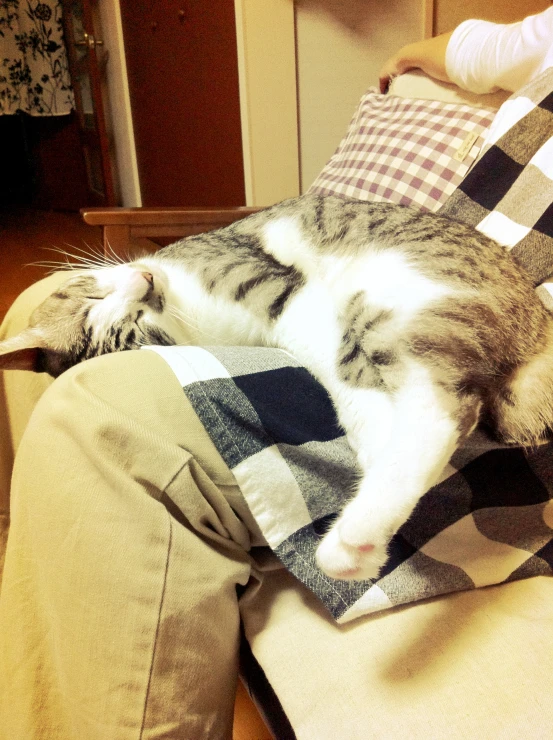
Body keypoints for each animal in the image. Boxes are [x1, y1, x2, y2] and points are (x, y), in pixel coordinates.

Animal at [1, 197, 552, 584]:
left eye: (96, 299)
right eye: (136, 326)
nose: (143, 280)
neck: (184, 315)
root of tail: (536, 324)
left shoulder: (280, 290)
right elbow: (354, 395)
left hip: (395, 297)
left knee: (443, 412)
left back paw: (354, 536)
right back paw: (361, 540)